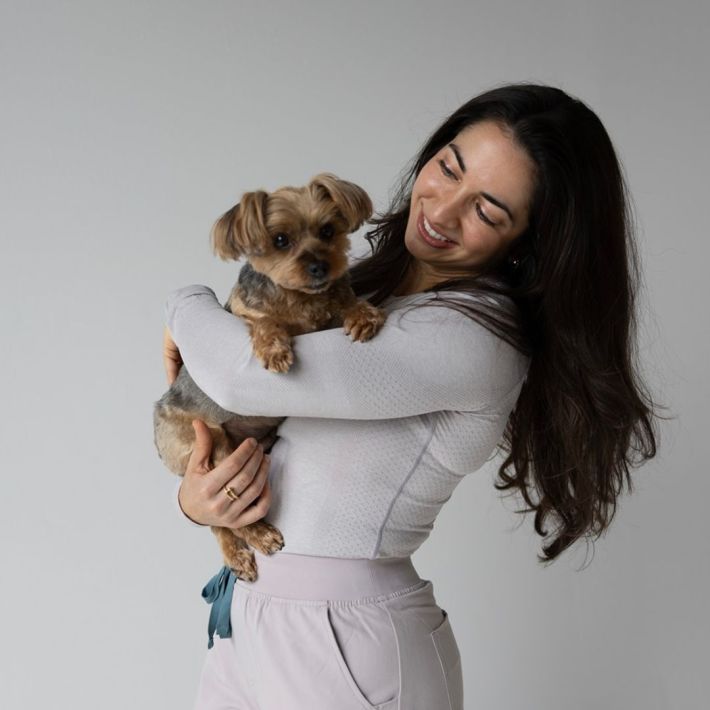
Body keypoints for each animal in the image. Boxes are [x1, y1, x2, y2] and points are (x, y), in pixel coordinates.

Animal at [154, 173, 386, 581]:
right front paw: (275, 348)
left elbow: (344, 298)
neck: (301, 297)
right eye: (280, 240)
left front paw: (362, 314)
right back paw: (256, 538)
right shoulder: (246, 313)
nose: (320, 267)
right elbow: (265, 321)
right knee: (224, 519)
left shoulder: (328, 304)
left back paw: (238, 554)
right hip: (208, 442)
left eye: (328, 230)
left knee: (218, 523)